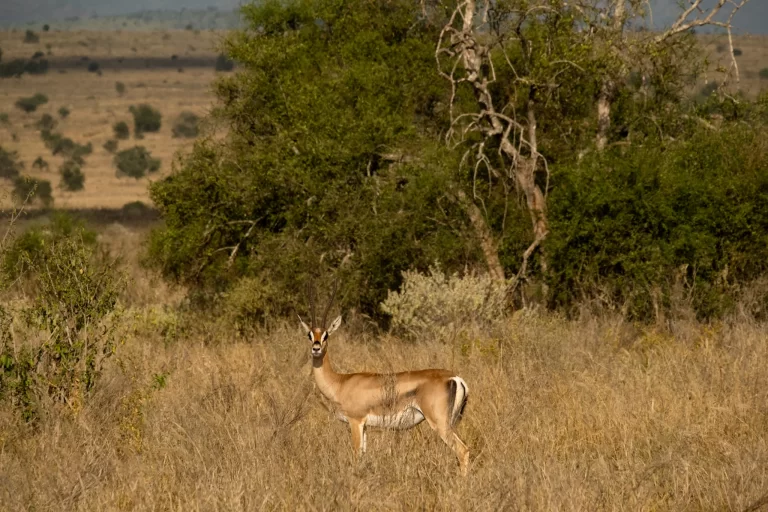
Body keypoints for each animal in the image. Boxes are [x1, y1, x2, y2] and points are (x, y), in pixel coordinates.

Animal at [299, 281, 470, 476]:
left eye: (326, 335)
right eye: (310, 335)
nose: (316, 348)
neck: (340, 383)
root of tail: (455, 378)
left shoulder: (355, 421)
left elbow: (356, 455)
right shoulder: (365, 426)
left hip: (440, 424)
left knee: (463, 450)